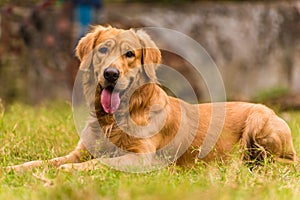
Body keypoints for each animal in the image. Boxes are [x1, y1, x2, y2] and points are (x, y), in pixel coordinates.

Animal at [6, 25, 296, 172]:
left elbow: (98, 163)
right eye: (103, 50)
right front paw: (16, 169)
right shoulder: (80, 151)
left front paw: (66, 172)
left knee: (285, 162)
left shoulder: (141, 158)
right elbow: (44, 162)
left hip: (259, 120)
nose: (111, 74)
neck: (114, 119)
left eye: (130, 54)